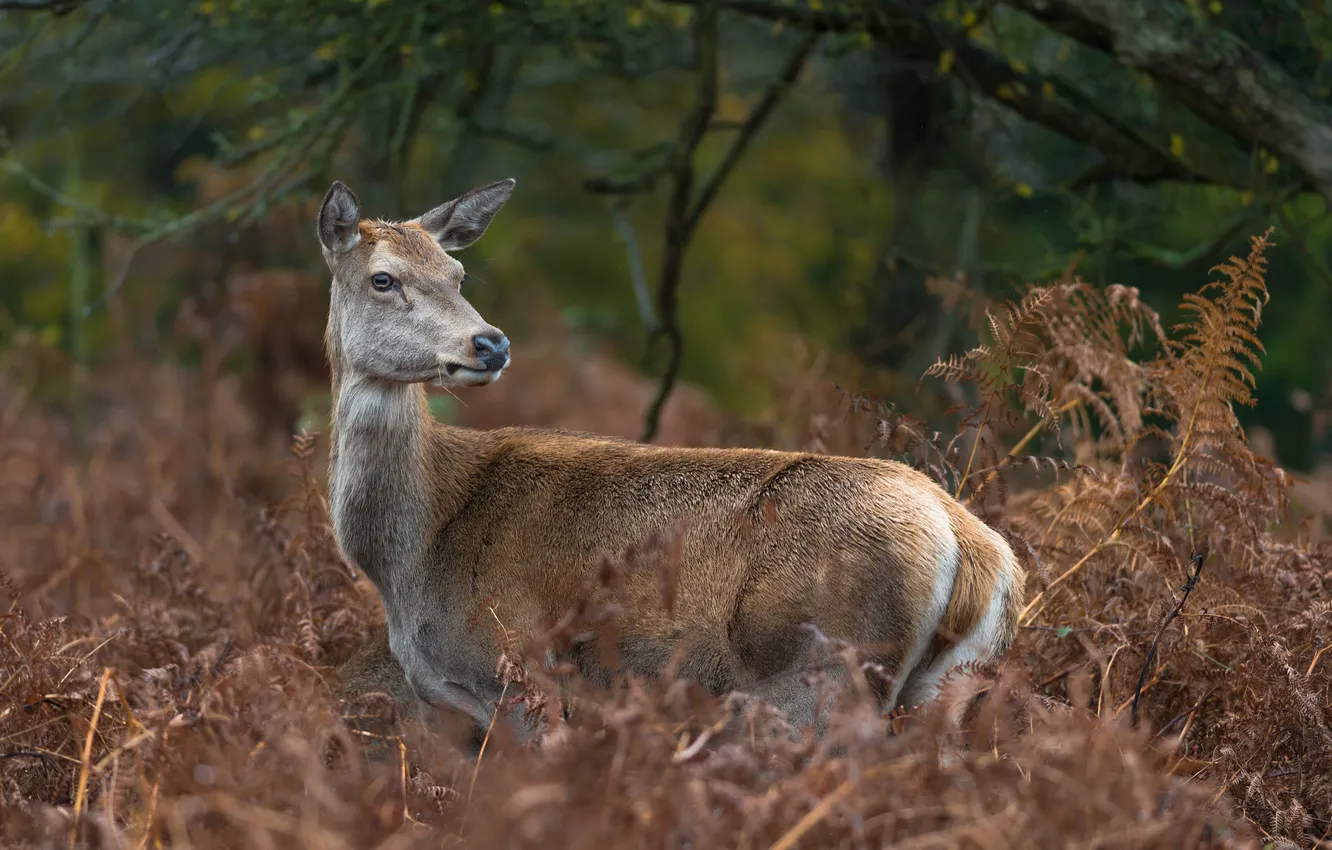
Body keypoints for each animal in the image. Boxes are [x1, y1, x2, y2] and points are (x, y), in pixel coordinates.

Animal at [317, 175, 1022, 751]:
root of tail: (972, 545)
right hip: (946, 686)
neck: (411, 557)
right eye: (383, 278)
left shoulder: (519, 673)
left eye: (457, 273)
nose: (490, 344)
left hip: (824, 675)